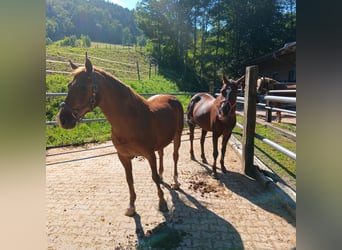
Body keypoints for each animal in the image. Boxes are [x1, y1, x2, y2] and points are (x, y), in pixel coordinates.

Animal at [56, 54, 184, 217]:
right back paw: (163, 178)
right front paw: (131, 206)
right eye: (69, 86)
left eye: (84, 87)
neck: (130, 121)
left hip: (177, 136)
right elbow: (129, 180)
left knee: (175, 156)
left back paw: (175, 181)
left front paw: (162, 203)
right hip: (161, 143)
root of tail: (173, 98)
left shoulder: (149, 155)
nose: (62, 119)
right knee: (161, 154)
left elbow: (153, 177)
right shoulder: (123, 156)